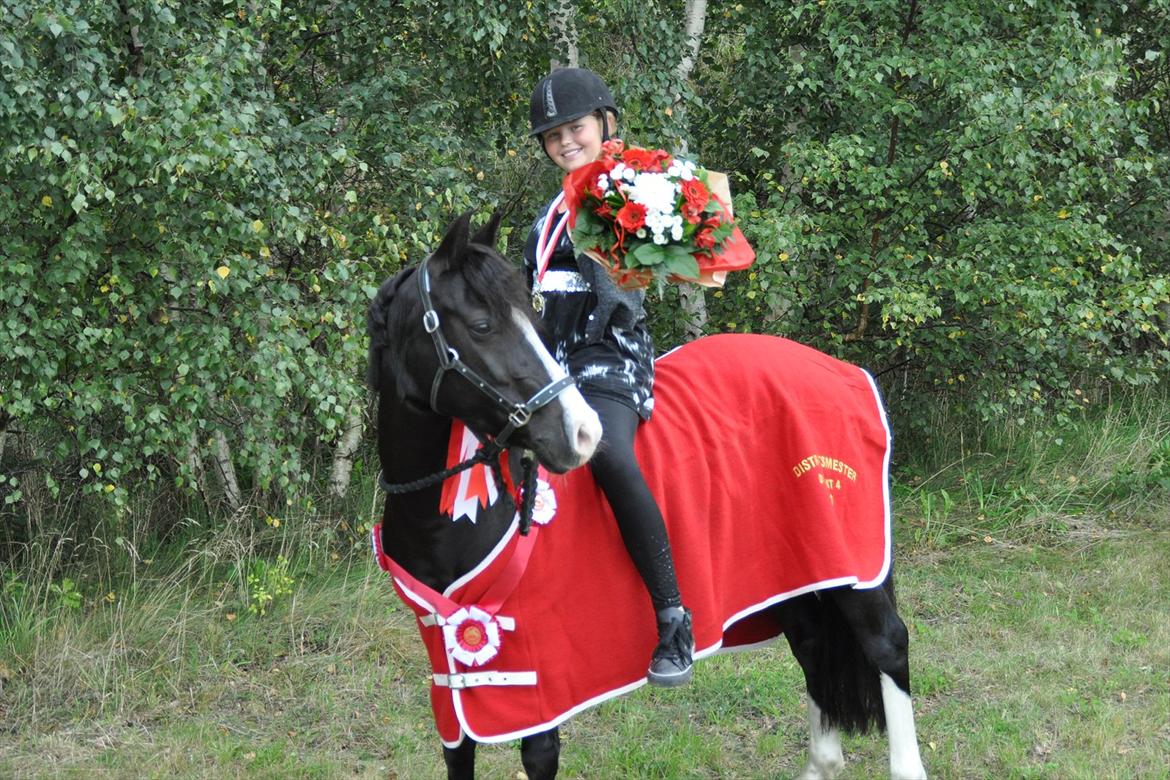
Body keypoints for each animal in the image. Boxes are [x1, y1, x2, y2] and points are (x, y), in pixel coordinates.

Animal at [367, 210, 931, 776]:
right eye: (483, 326)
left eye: (532, 321)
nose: (582, 433)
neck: (455, 525)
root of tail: (843, 372)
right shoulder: (451, 682)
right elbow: (457, 752)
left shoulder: (536, 682)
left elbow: (539, 754)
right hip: (796, 570)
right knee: (813, 645)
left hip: (854, 566)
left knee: (887, 644)